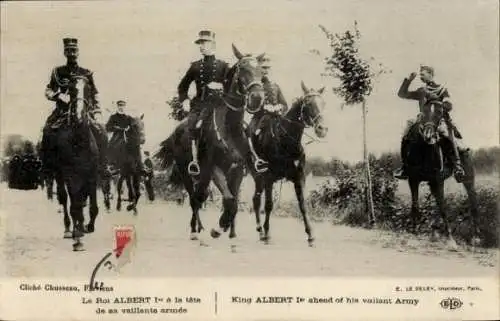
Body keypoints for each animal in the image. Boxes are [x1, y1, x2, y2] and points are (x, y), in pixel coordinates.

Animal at [156, 43, 266, 242]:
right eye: (243, 69)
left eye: (261, 71)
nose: (257, 98)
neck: (229, 128)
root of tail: (176, 132)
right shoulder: (214, 168)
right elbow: (229, 199)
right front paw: (219, 228)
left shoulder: (237, 170)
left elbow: (233, 201)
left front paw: (227, 227)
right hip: (187, 172)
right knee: (194, 198)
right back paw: (194, 230)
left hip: (202, 176)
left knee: (201, 195)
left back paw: (201, 227)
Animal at [245, 82, 328, 245]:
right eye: (308, 104)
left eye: (323, 103)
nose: (322, 129)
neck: (286, 141)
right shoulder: (269, 178)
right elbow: (268, 205)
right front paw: (267, 233)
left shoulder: (299, 177)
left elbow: (302, 205)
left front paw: (310, 234)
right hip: (257, 176)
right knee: (256, 200)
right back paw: (260, 230)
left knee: (256, 199)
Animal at [404, 101, 478, 249]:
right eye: (424, 111)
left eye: (439, 112)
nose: (429, 136)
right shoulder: (413, 180)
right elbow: (416, 206)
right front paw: (414, 235)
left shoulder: (438, 180)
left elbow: (443, 207)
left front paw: (450, 240)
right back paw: (435, 232)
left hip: (468, 178)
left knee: (472, 200)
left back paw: (476, 237)